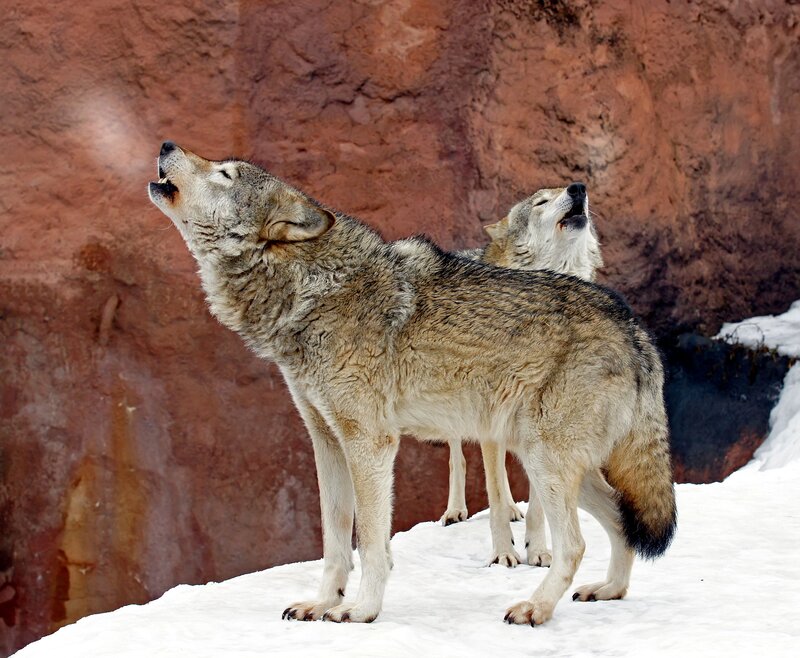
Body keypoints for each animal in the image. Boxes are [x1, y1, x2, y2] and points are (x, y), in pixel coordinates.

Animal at [442, 185, 604, 571]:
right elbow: (493, 496)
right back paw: (455, 510)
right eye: (541, 202)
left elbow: (537, 505)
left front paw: (540, 550)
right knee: (459, 457)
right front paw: (503, 553)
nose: (579, 187)